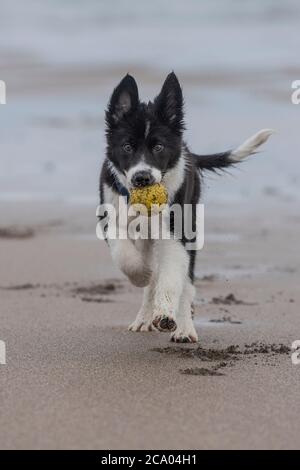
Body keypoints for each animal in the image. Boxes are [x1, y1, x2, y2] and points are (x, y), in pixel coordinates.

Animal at [99, 74, 274, 346]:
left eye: (158, 147)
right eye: (127, 147)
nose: (142, 178)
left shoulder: (176, 233)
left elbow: (172, 277)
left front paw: (166, 316)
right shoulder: (111, 219)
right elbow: (127, 257)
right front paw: (143, 275)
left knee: (186, 281)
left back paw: (183, 327)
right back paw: (143, 317)